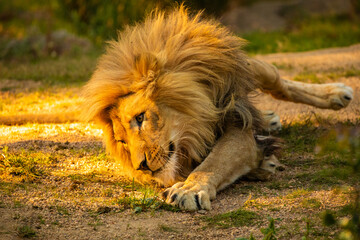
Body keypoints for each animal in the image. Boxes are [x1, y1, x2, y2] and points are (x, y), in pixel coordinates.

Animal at [81, 6, 352, 211]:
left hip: (246, 69)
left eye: (140, 118)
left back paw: (337, 93)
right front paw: (263, 162)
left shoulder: (238, 124)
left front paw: (188, 189)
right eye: (122, 142)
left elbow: (214, 163)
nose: (142, 166)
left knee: (277, 81)